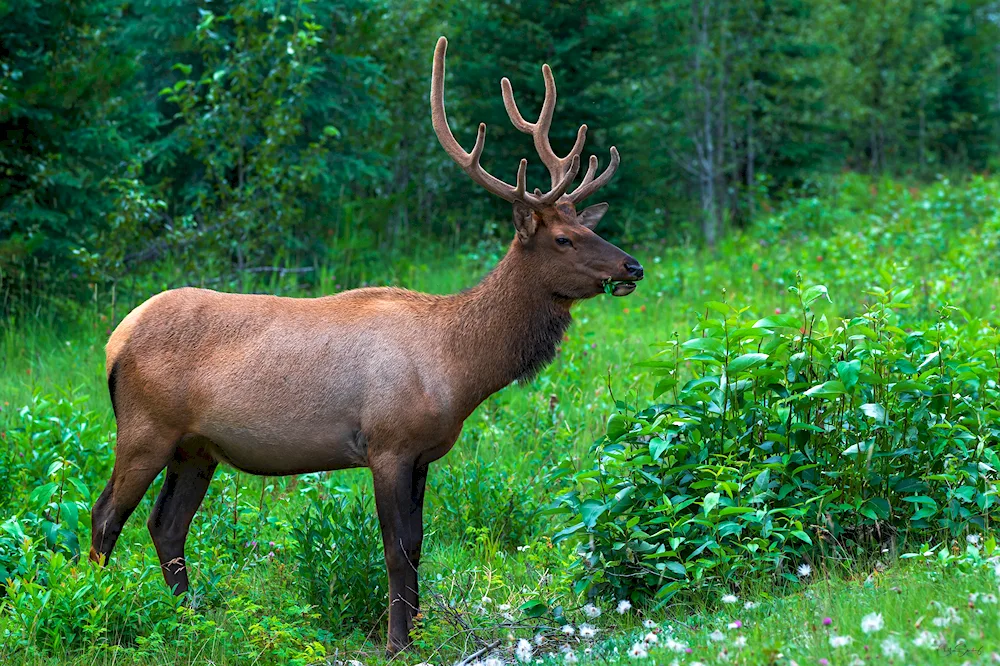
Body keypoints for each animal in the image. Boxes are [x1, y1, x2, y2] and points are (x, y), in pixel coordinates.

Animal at [92, 35, 640, 648]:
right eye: (565, 238)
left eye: (593, 226)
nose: (632, 266)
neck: (459, 369)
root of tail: (115, 342)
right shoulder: (387, 444)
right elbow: (396, 550)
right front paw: (398, 641)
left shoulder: (424, 454)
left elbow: (419, 547)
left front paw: (419, 632)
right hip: (145, 427)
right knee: (106, 515)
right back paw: (92, 606)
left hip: (196, 447)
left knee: (166, 525)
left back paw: (190, 620)